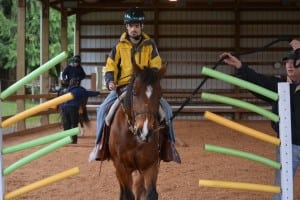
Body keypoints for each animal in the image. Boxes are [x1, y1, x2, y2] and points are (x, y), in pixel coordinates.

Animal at [109, 62, 166, 198]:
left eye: (159, 95)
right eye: (134, 93)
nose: (144, 131)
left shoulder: (151, 165)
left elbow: (150, 193)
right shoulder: (121, 167)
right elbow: (127, 195)